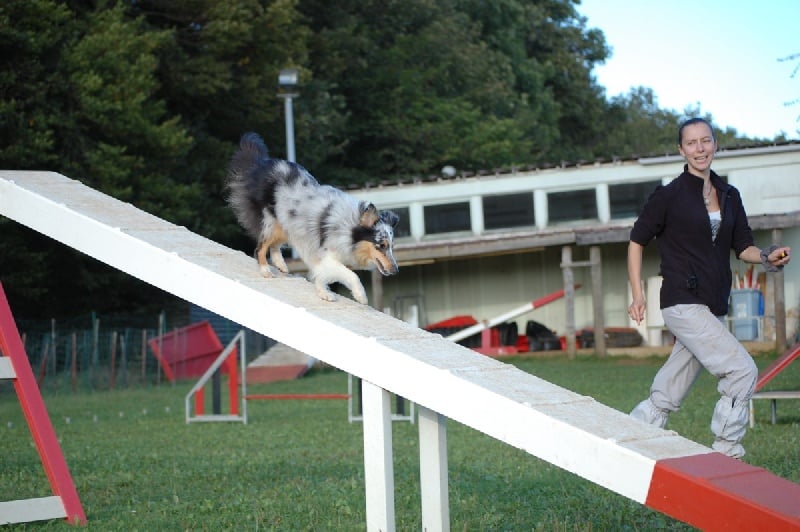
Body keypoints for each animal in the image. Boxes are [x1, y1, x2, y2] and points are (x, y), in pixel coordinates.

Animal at [225, 132, 400, 304]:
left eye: (391, 246)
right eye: (381, 245)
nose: (396, 270)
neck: (349, 227)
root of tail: (261, 163)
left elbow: (323, 276)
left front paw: (323, 293)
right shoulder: (326, 255)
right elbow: (352, 275)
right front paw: (360, 296)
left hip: (288, 224)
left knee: (274, 245)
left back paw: (281, 264)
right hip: (271, 222)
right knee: (260, 248)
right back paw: (265, 270)